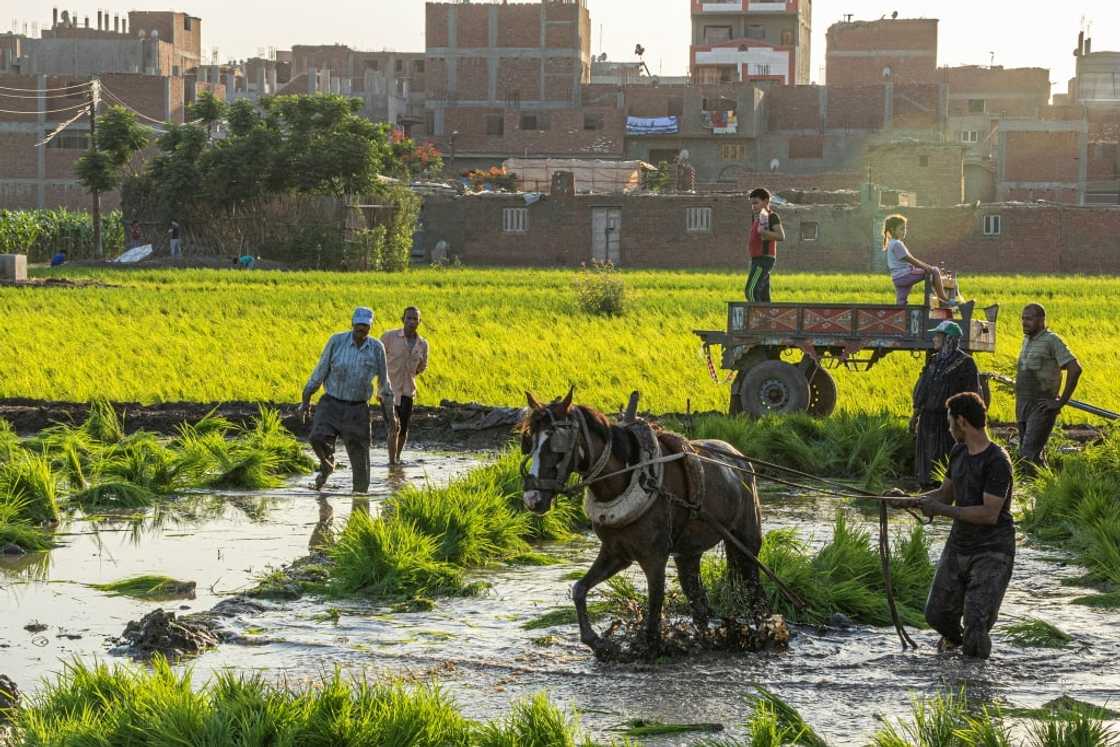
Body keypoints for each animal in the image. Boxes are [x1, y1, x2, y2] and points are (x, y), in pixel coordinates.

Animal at [519, 389, 766, 658]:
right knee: (697, 598)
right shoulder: (616, 553)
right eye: (529, 442)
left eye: (556, 445)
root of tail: (739, 458)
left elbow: (655, 604)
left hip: (746, 541)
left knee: (754, 590)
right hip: (688, 553)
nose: (532, 499)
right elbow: (579, 589)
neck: (626, 479)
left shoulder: (654, 557)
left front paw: (650, 646)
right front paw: (598, 642)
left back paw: (764, 631)